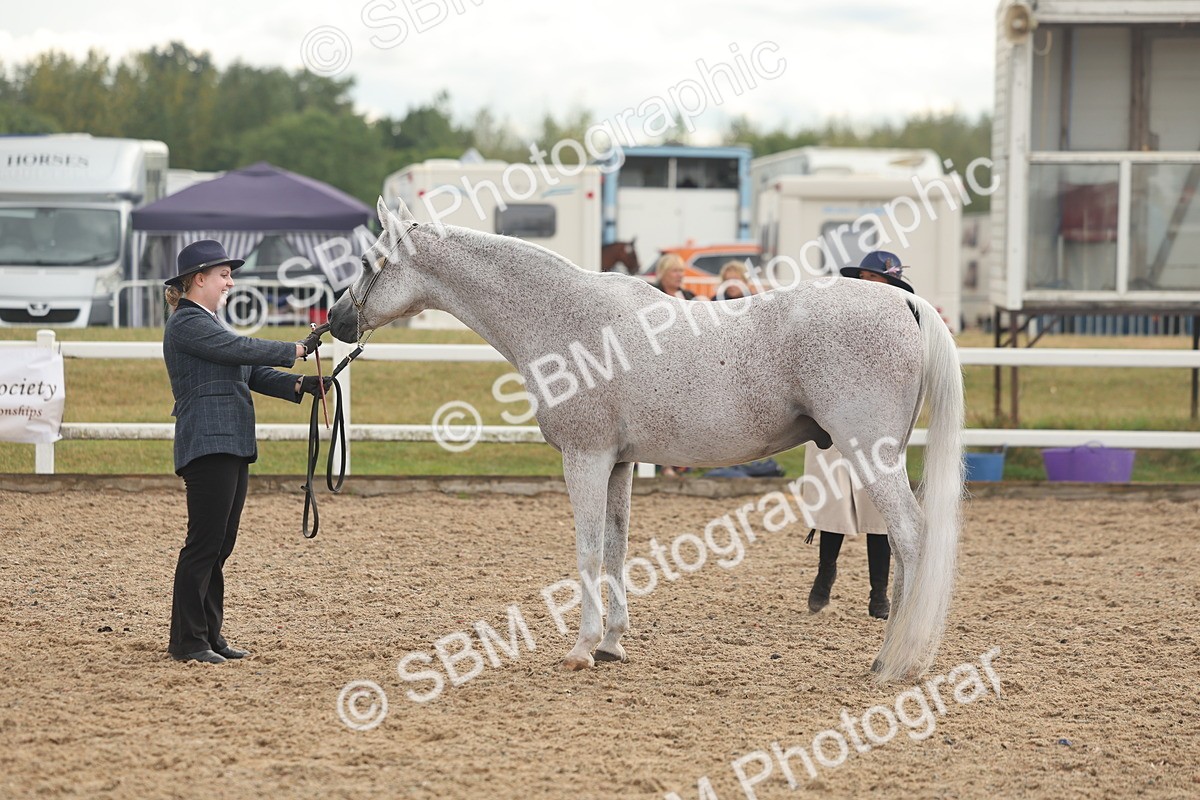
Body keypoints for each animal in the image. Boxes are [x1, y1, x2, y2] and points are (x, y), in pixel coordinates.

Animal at [328, 198, 965, 682]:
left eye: (365, 260)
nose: (334, 322)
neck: (566, 319)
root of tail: (905, 301)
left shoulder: (584, 458)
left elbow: (587, 549)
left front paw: (582, 648)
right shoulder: (619, 464)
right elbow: (616, 547)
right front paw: (613, 642)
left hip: (871, 454)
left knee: (911, 537)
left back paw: (895, 659)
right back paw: (891, 655)